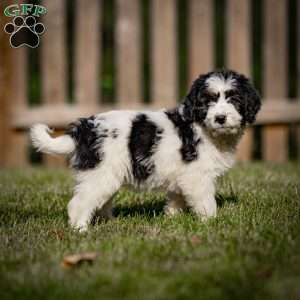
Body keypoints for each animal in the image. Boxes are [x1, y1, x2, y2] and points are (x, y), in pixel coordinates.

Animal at [29, 69, 260, 231]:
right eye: (208, 101)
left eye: (234, 99)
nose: (220, 118)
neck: (202, 126)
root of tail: (84, 129)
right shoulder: (198, 177)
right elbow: (206, 201)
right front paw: (211, 222)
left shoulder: (182, 176)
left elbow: (176, 198)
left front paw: (172, 217)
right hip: (100, 174)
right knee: (79, 203)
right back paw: (80, 229)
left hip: (104, 176)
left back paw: (110, 221)